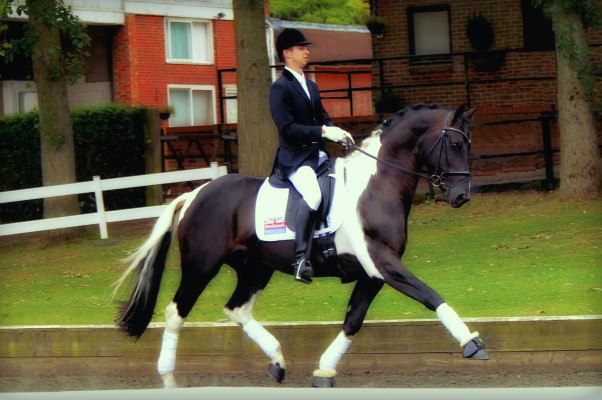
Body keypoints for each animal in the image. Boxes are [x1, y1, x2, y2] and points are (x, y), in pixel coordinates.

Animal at [113, 102, 488, 388]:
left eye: (468, 145)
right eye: (455, 146)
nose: (461, 197)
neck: (376, 186)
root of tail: (194, 194)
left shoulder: (372, 272)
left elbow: (353, 320)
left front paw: (324, 370)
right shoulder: (382, 262)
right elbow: (430, 296)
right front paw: (471, 343)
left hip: (255, 268)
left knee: (236, 309)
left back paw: (277, 361)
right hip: (201, 266)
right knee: (176, 312)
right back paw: (168, 378)